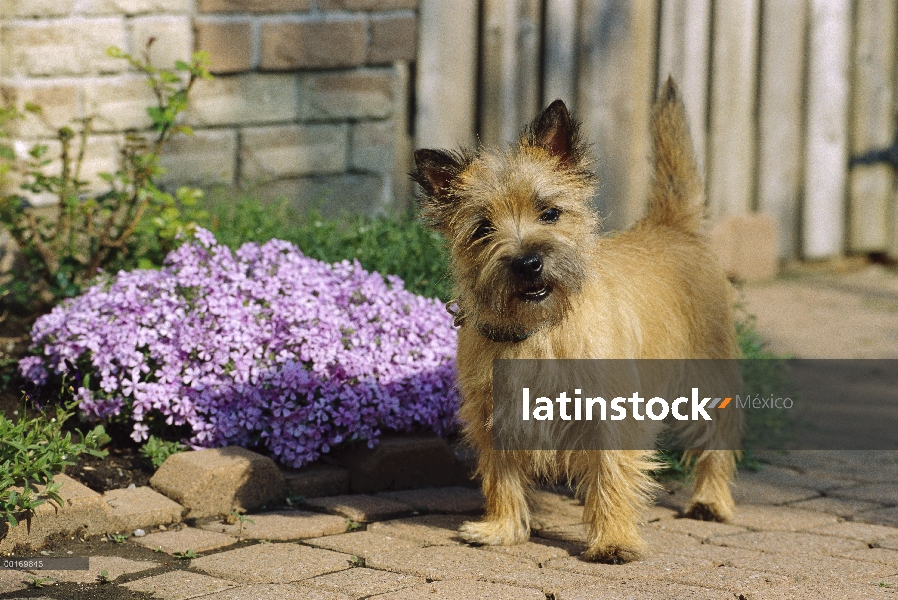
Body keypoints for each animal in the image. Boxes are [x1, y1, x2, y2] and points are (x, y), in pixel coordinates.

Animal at [410, 78, 740, 564]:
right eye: (483, 229)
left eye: (550, 213)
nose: (528, 263)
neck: (539, 330)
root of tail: (670, 226)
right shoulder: (493, 414)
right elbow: (500, 476)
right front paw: (502, 529)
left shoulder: (611, 412)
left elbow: (612, 474)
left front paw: (614, 539)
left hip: (709, 376)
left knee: (717, 437)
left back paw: (710, 500)